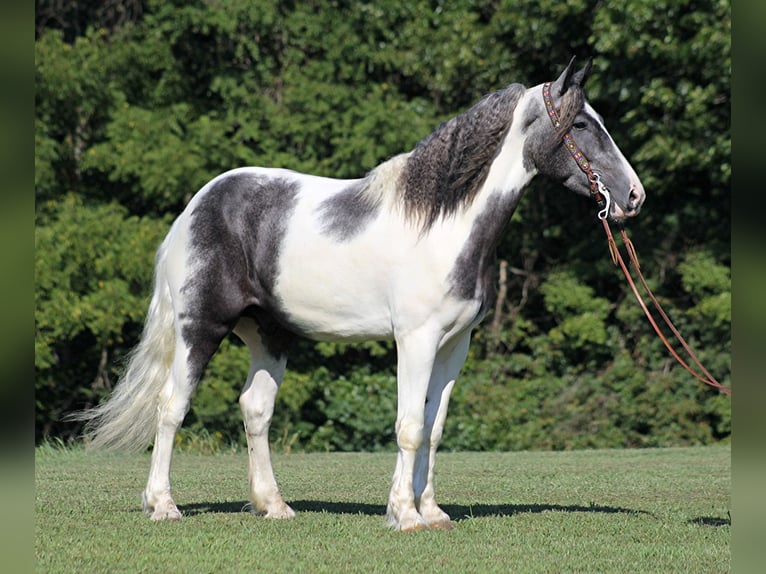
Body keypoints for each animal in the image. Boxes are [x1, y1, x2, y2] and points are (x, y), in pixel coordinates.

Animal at [73, 57, 648, 532]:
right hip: (200, 328)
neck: (444, 222)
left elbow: (434, 429)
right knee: (172, 407)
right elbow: (409, 425)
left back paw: (274, 506)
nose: (634, 196)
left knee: (255, 409)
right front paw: (404, 516)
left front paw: (431, 512)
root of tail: (196, 207)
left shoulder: (453, 346)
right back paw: (163, 505)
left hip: (270, 334)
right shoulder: (415, 340)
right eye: (581, 125)